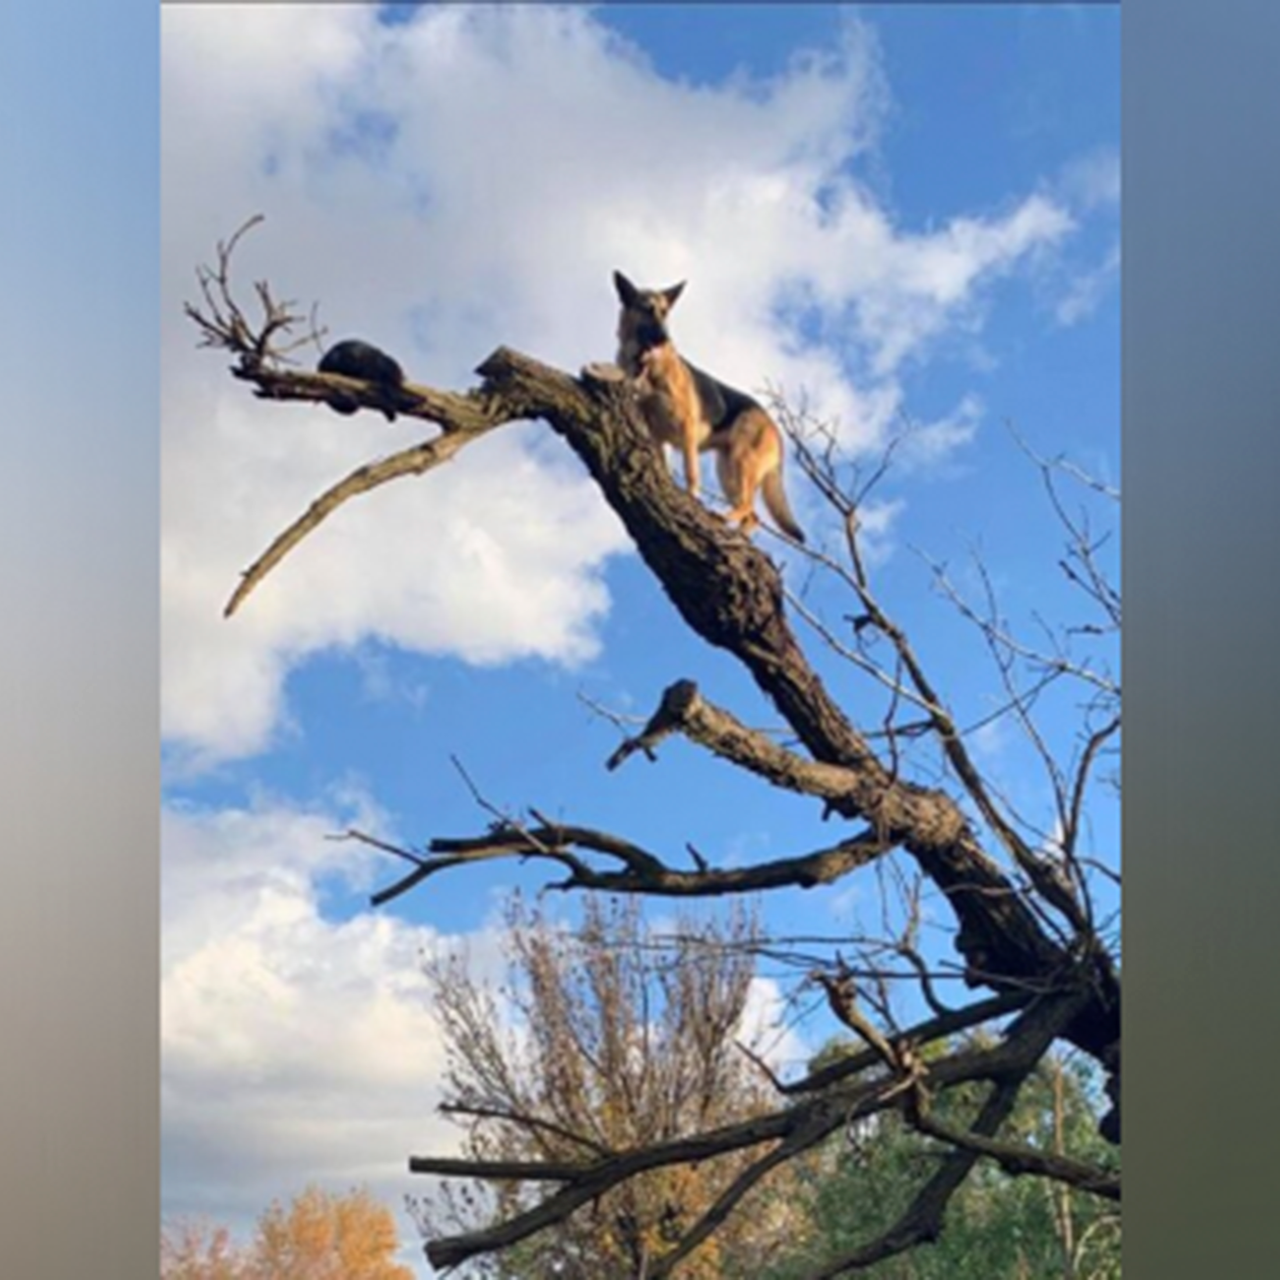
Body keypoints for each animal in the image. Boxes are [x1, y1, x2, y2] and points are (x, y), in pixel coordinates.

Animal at [614, 272, 803, 542]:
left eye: (665, 313)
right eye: (647, 309)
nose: (666, 338)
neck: (646, 366)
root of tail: (772, 425)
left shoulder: (687, 430)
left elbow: (691, 472)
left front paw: (692, 497)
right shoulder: (656, 436)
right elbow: (664, 468)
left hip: (740, 463)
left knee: (749, 507)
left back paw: (724, 519)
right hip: (727, 471)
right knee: (753, 516)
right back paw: (737, 533)